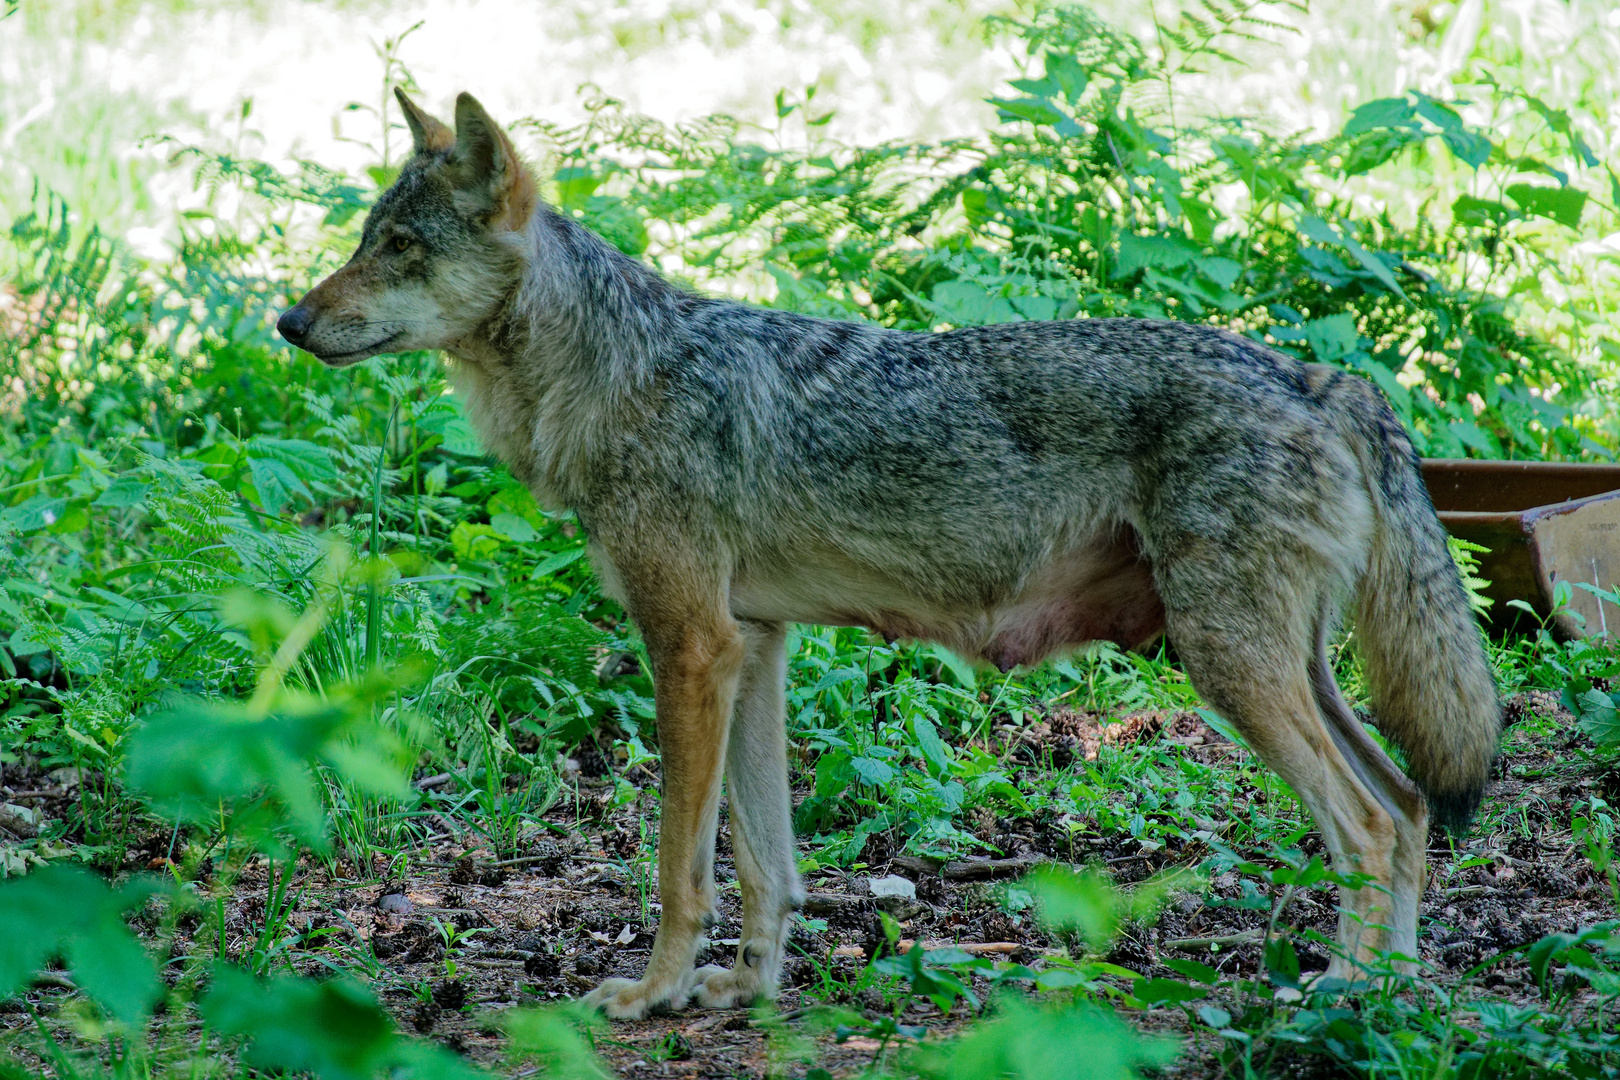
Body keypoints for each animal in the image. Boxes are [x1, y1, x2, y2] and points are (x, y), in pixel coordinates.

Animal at [278, 88, 1503, 1016]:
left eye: (399, 249)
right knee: (1410, 809)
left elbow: (681, 867)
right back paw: (1394, 997)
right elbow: (766, 862)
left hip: (1230, 667)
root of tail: (1326, 379)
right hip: (1284, 669)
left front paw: (652, 995)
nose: (288, 323)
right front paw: (748, 993)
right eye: (364, 241)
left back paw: (1340, 993)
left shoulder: (690, 648)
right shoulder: (754, 649)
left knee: (1369, 827)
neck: (615, 375)